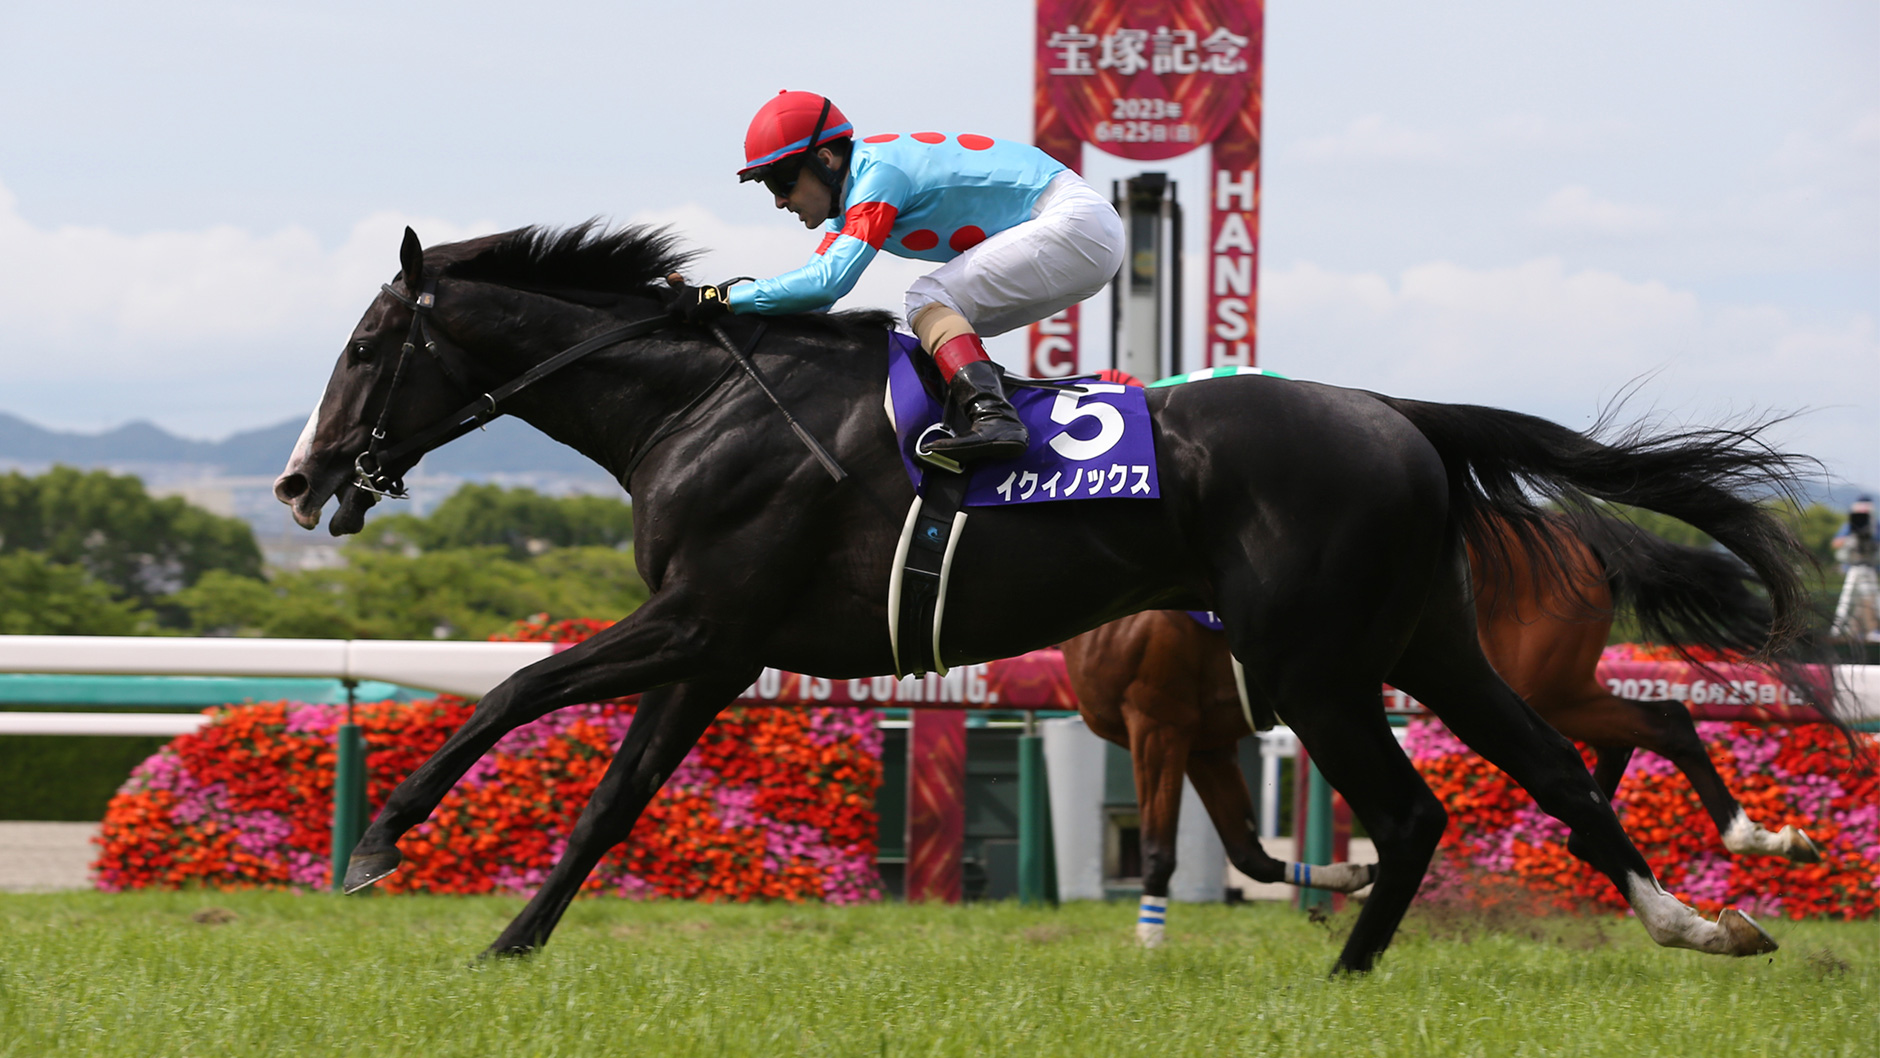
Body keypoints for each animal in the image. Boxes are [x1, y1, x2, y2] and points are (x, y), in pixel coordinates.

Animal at [1063, 510, 1838, 945]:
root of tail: (1579, 536)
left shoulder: (1156, 725)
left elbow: (1160, 850)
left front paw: (1149, 947)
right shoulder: (1206, 739)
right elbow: (1247, 852)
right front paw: (1355, 875)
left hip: (1516, 680)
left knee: (1638, 729)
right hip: (1550, 684)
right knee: (1650, 725)